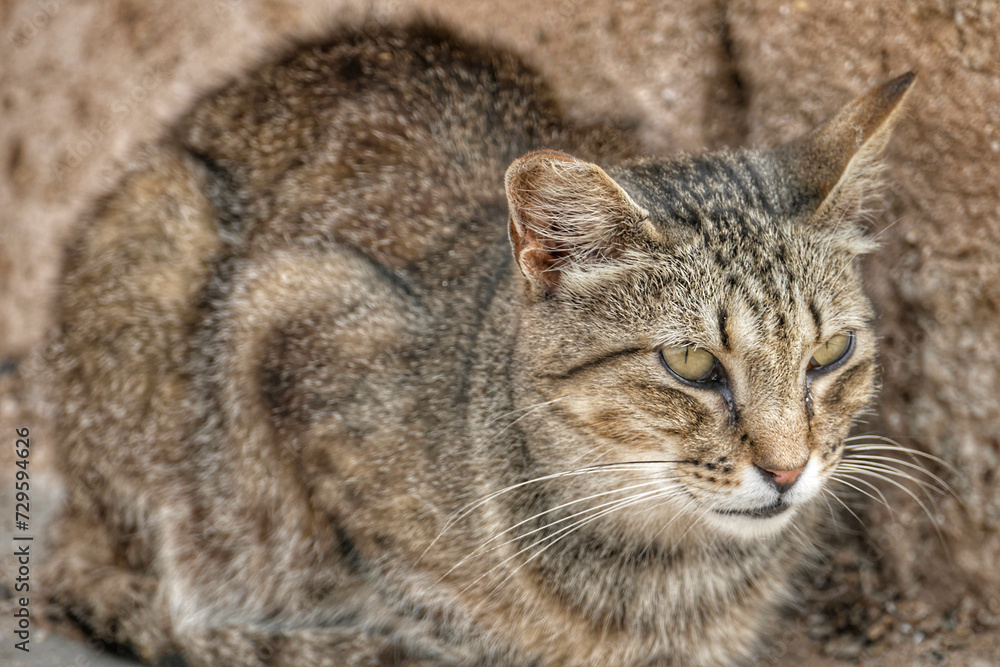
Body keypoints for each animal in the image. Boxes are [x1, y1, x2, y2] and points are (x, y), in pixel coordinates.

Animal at [39, 18, 916, 664]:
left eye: (829, 354)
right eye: (692, 363)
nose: (788, 467)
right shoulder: (287, 315)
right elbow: (398, 585)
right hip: (161, 230)